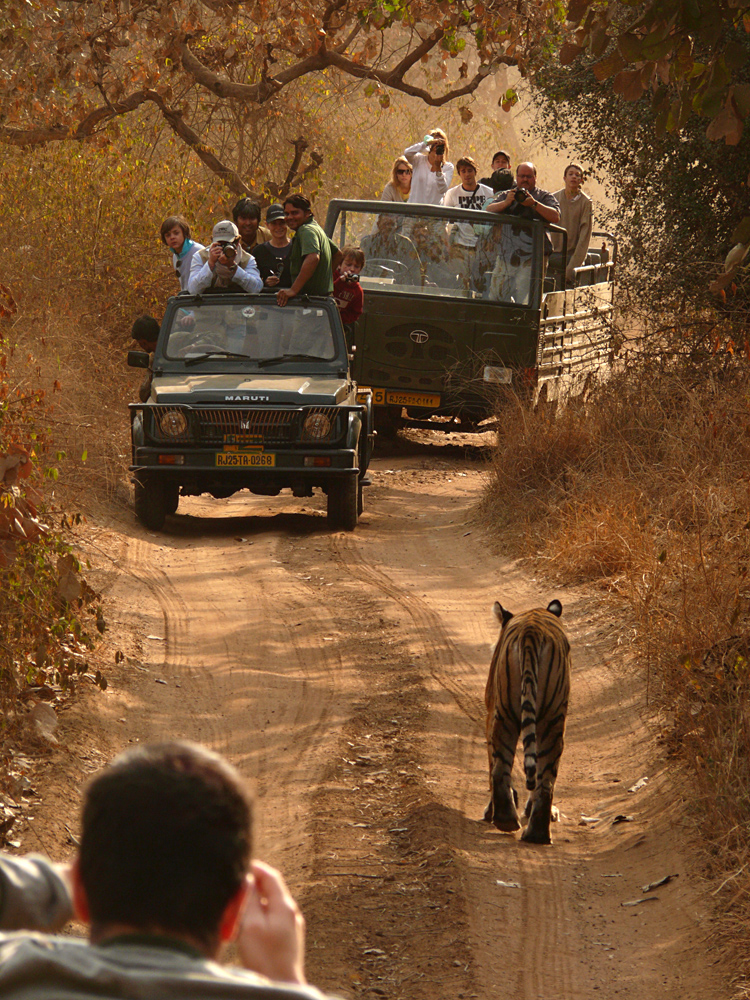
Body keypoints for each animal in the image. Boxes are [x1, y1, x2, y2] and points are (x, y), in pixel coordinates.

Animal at [484, 600, 572, 844]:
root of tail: (532, 630)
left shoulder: (490, 711)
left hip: (506, 714)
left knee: (500, 768)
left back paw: (507, 820)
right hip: (552, 719)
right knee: (545, 780)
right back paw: (537, 834)